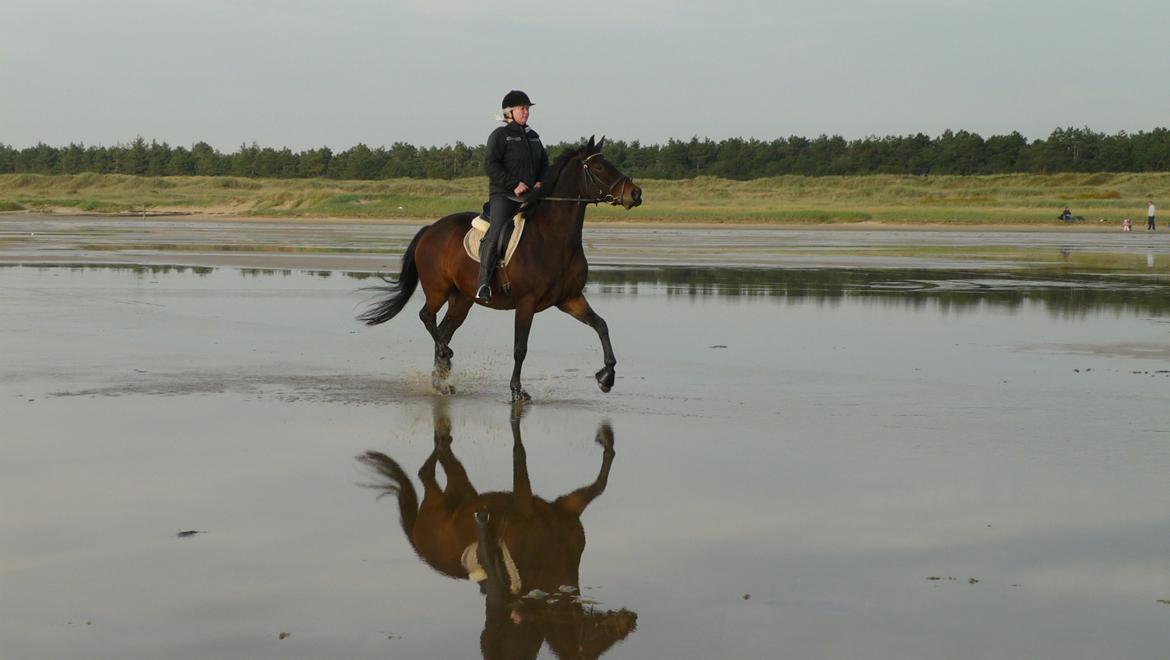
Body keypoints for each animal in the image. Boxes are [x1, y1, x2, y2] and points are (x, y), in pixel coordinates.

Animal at [355, 400, 636, 655]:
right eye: (592, 645)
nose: (631, 621)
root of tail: (417, 545)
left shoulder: (568, 507)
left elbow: (600, 484)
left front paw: (607, 439)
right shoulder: (526, 506)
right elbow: (520, 454)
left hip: (461, 494)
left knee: (441, 467)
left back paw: (443, 435)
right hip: (439, 502)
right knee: (427, 472)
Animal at [360, 136, 645, 400]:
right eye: (599, 167)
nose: (635, 193)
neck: (553, 238)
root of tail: (430, 229)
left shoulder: (570, 299)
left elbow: (601, 325)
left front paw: (607, 377)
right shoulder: (527, 303)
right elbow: (520, 347)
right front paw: (517, 390)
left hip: (461, 299)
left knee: (444, 330)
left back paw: (442, 379)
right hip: (437, 290)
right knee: (427, 318)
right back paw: (445, 360)